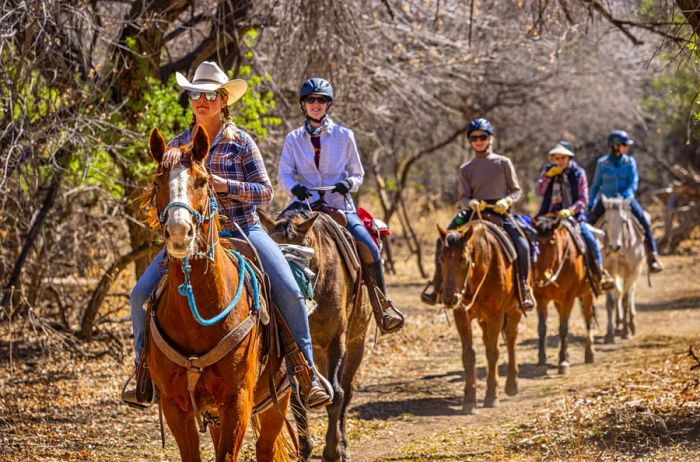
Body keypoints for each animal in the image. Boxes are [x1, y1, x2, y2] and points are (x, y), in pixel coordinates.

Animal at [144, 126, 292, 462]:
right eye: (157, 182)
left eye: (202, 180)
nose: (179, 233)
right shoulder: (175, 405)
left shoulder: (237, 401)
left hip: (278, 399)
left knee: (266, 448)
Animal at [262, 208, 372, 462]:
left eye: (305, 249)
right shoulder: (294, 345)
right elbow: (296, 398)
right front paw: (304, 449)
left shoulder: (336, 341)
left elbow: (337, 394)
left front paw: (332, 451)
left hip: (356, 343)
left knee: (347, 390)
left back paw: (343, 446)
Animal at [440, 220, 524, 412]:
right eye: (441, 260)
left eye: (463, 260)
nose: (449, 299)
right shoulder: (461, 315)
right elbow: (469, 355)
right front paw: (469, 399)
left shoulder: (496, 315)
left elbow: (493, 352)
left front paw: (492, 396)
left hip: (514, 310)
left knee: (511, 338)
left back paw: (511, 384)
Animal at [532, 217, 592, 376]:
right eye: (536, 241)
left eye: (552, 241)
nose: (540, 276)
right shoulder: (540, 298)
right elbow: (542, 328)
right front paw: (541, 360)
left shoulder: (569, 297)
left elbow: (564, 328)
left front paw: (563, 362)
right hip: (558, 302)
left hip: (587, 294)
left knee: (588, 320)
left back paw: (589, 354)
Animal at [596, 195, 644, 342]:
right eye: (606, 220)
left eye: (623, 221)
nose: (614, 247)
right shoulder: (610, 273)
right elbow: (611, 302)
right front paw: (609, 334)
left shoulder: (632, 273)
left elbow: (625, 300)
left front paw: (626, 332)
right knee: (617, 294)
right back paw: (618, 323)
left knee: (630, 294)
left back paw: (630, 324)